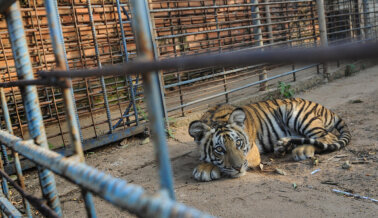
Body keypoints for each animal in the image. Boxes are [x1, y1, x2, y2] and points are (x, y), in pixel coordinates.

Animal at [189, 98, 352, 181]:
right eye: (219, 149)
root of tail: (327, 109)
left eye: (238, 143)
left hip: (297, 114)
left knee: (327, 137)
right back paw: (282, 146)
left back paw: (302, 150)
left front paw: (204, 169)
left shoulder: (252, 151)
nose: (239, 168)